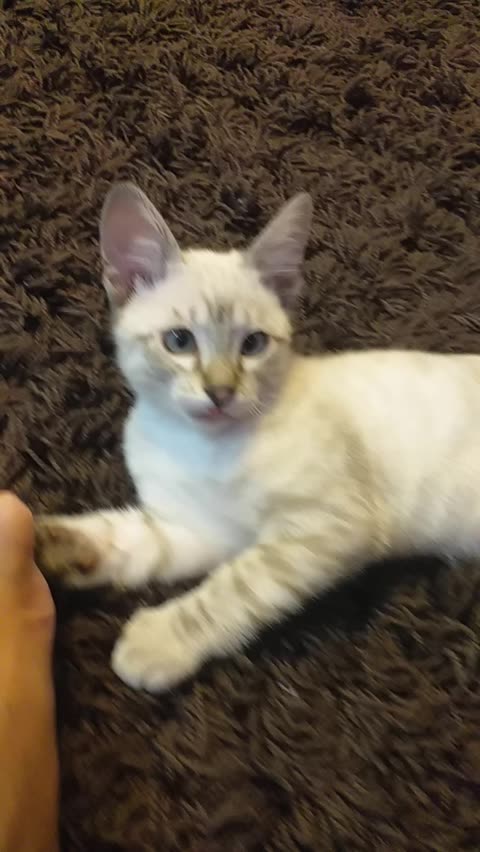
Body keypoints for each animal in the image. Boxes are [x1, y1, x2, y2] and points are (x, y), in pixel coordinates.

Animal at [35, 181, 480, 693]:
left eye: (253, 345)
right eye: (179, 342)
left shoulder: (326, 525)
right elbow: (131, 540)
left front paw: (156, 643)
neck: (197, 447)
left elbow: (232, 589)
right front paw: (52, 545)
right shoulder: (199, 530)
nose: (220, 392)